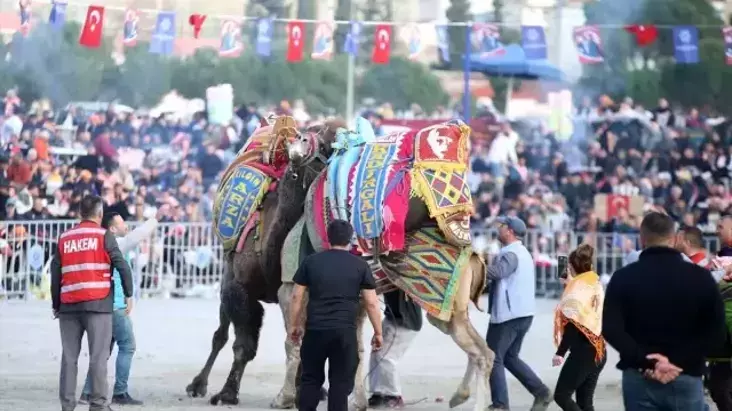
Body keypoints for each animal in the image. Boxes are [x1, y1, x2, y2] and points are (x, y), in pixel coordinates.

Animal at [276, 118, 498, 411]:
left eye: (312, 136)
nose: (295, 145)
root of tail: (474, 257)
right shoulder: (358, 297)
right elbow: (356, 347)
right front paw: (357, 401)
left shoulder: (292, 286)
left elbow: (294, 342)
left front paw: (284, 398)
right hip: (451, 309)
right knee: (483, 350)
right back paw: (458, 396)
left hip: (445, 303)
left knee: (482, 353)